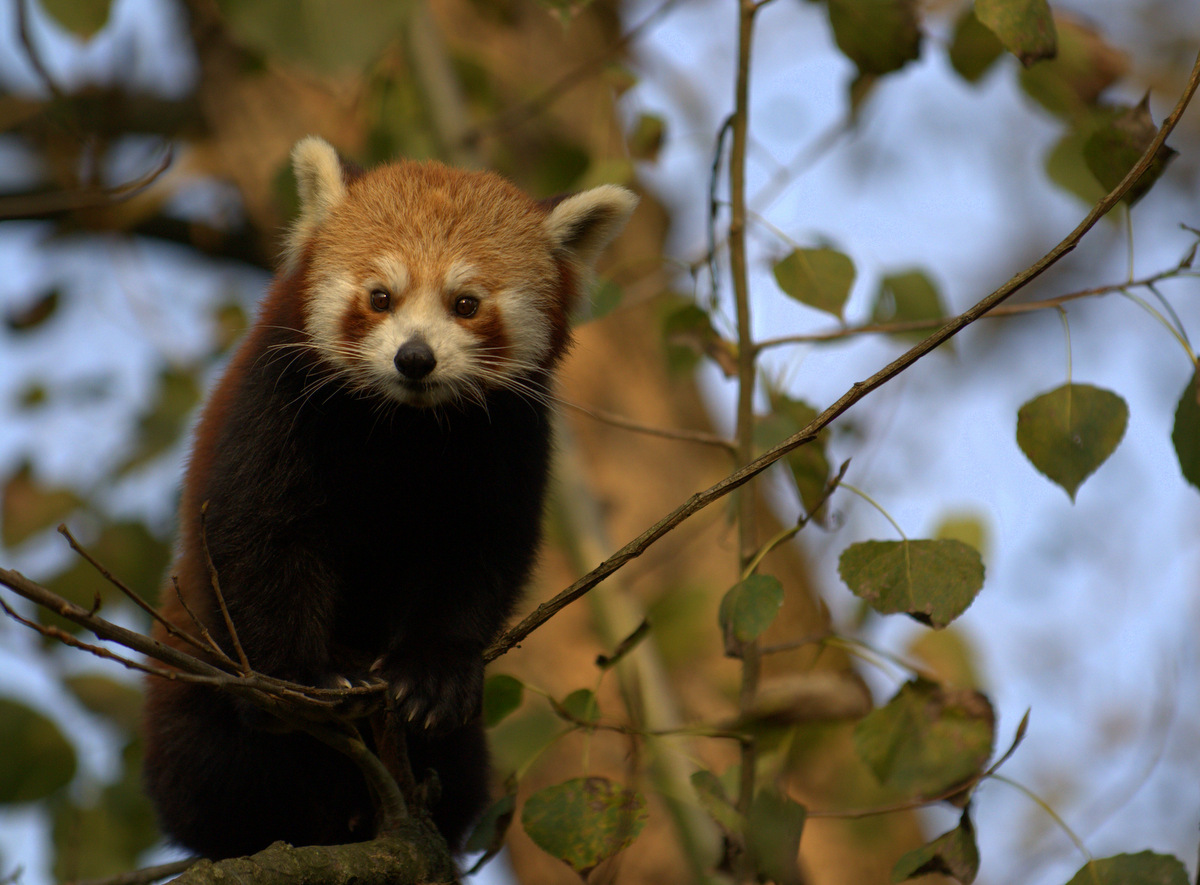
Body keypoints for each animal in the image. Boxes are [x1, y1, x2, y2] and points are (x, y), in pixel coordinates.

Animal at [140, 136, 638, 853]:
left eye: (466, 303)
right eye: (380, 296)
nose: (414, 357)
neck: (404, 427)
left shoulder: (507, 441)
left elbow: (478, 557)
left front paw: (431, 676)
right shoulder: (277, 408)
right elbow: (258, 537)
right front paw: (299, 682)